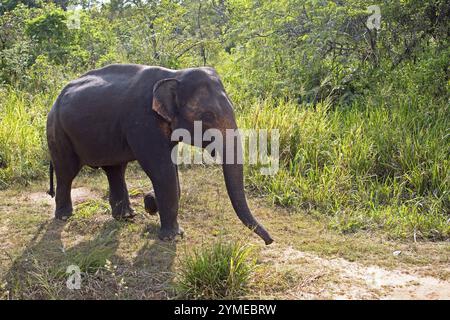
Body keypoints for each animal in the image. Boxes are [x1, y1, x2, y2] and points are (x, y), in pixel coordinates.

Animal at [45, 64, 272, 245]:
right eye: (207, 116)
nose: (269, 241)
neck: (175, 74)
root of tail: (55, 101)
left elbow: (171, 170)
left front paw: (152, 203)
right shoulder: (144, 122)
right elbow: (162, 171)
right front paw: (172, 236)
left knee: (115, 170)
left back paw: (126, 217)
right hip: (57, 131)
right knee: (66, 172)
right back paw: (65, 217)